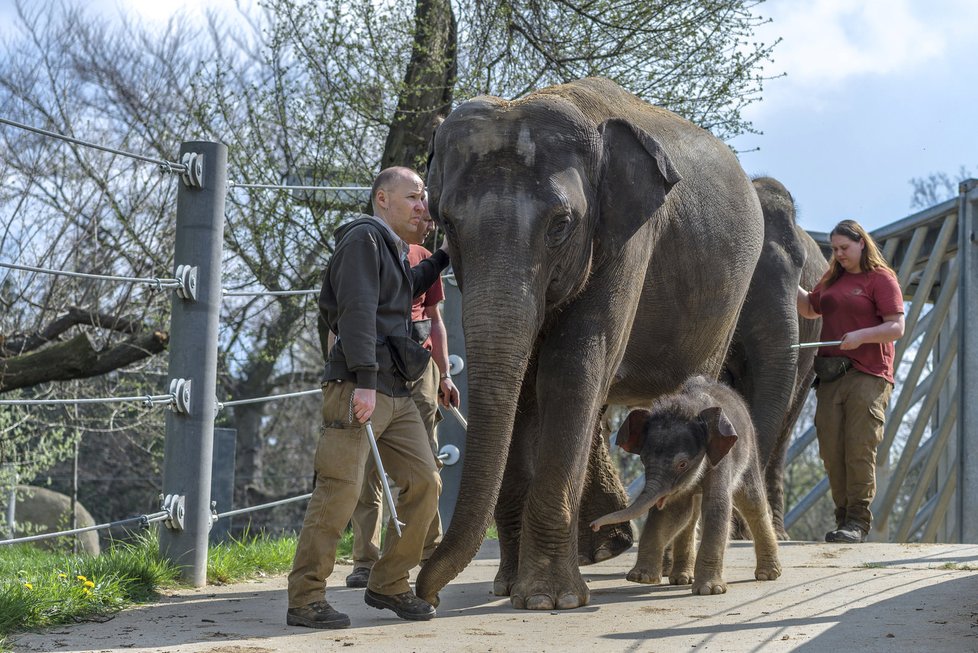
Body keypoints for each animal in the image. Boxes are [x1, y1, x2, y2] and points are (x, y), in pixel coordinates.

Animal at [592, 374, 780, 592]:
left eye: (682, 464)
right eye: (644, 460)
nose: (594, 525)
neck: (689, 406)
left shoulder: (721, 460)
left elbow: (717, 506)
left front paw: (708, 590)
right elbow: (673, 511)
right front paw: (640, 578)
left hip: (749, 455)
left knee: (752, 502)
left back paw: (768, 575)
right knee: (690, 517)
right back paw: (681, 579)